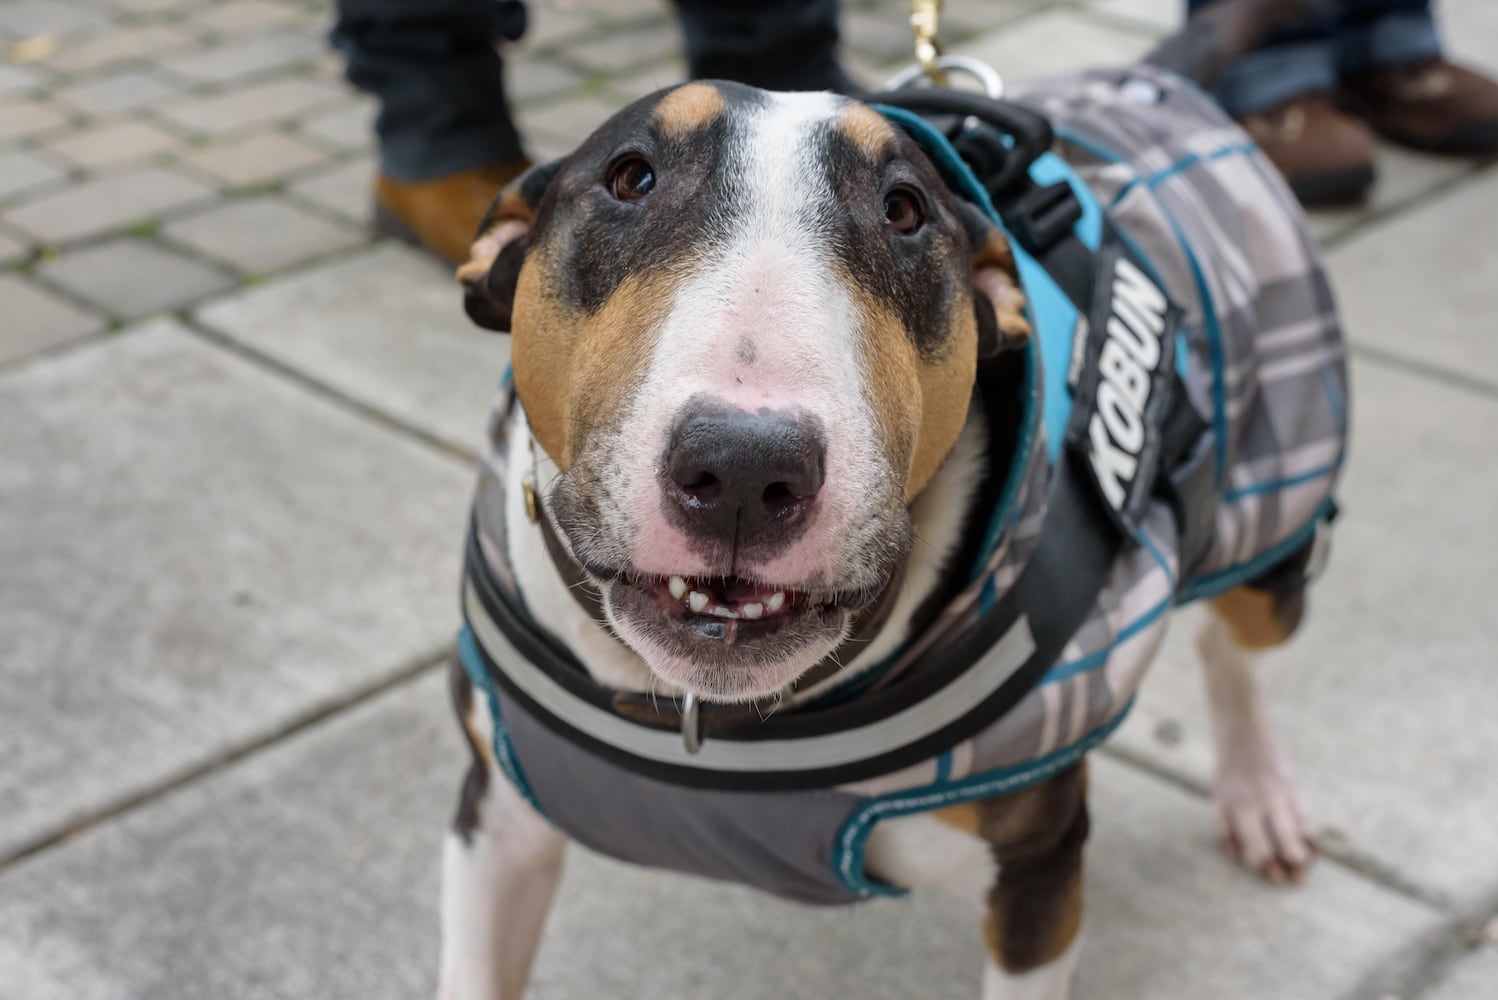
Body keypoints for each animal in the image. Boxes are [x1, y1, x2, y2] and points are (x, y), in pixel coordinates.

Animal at [434, 9, 1348, 999]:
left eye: (905, 210)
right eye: (629, 176)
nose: (746, 468)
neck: (707, 717)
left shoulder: (1038, 869)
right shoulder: (497, 818)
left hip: (1274, 510)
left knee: (1235, 638)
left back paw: (1257, 794)